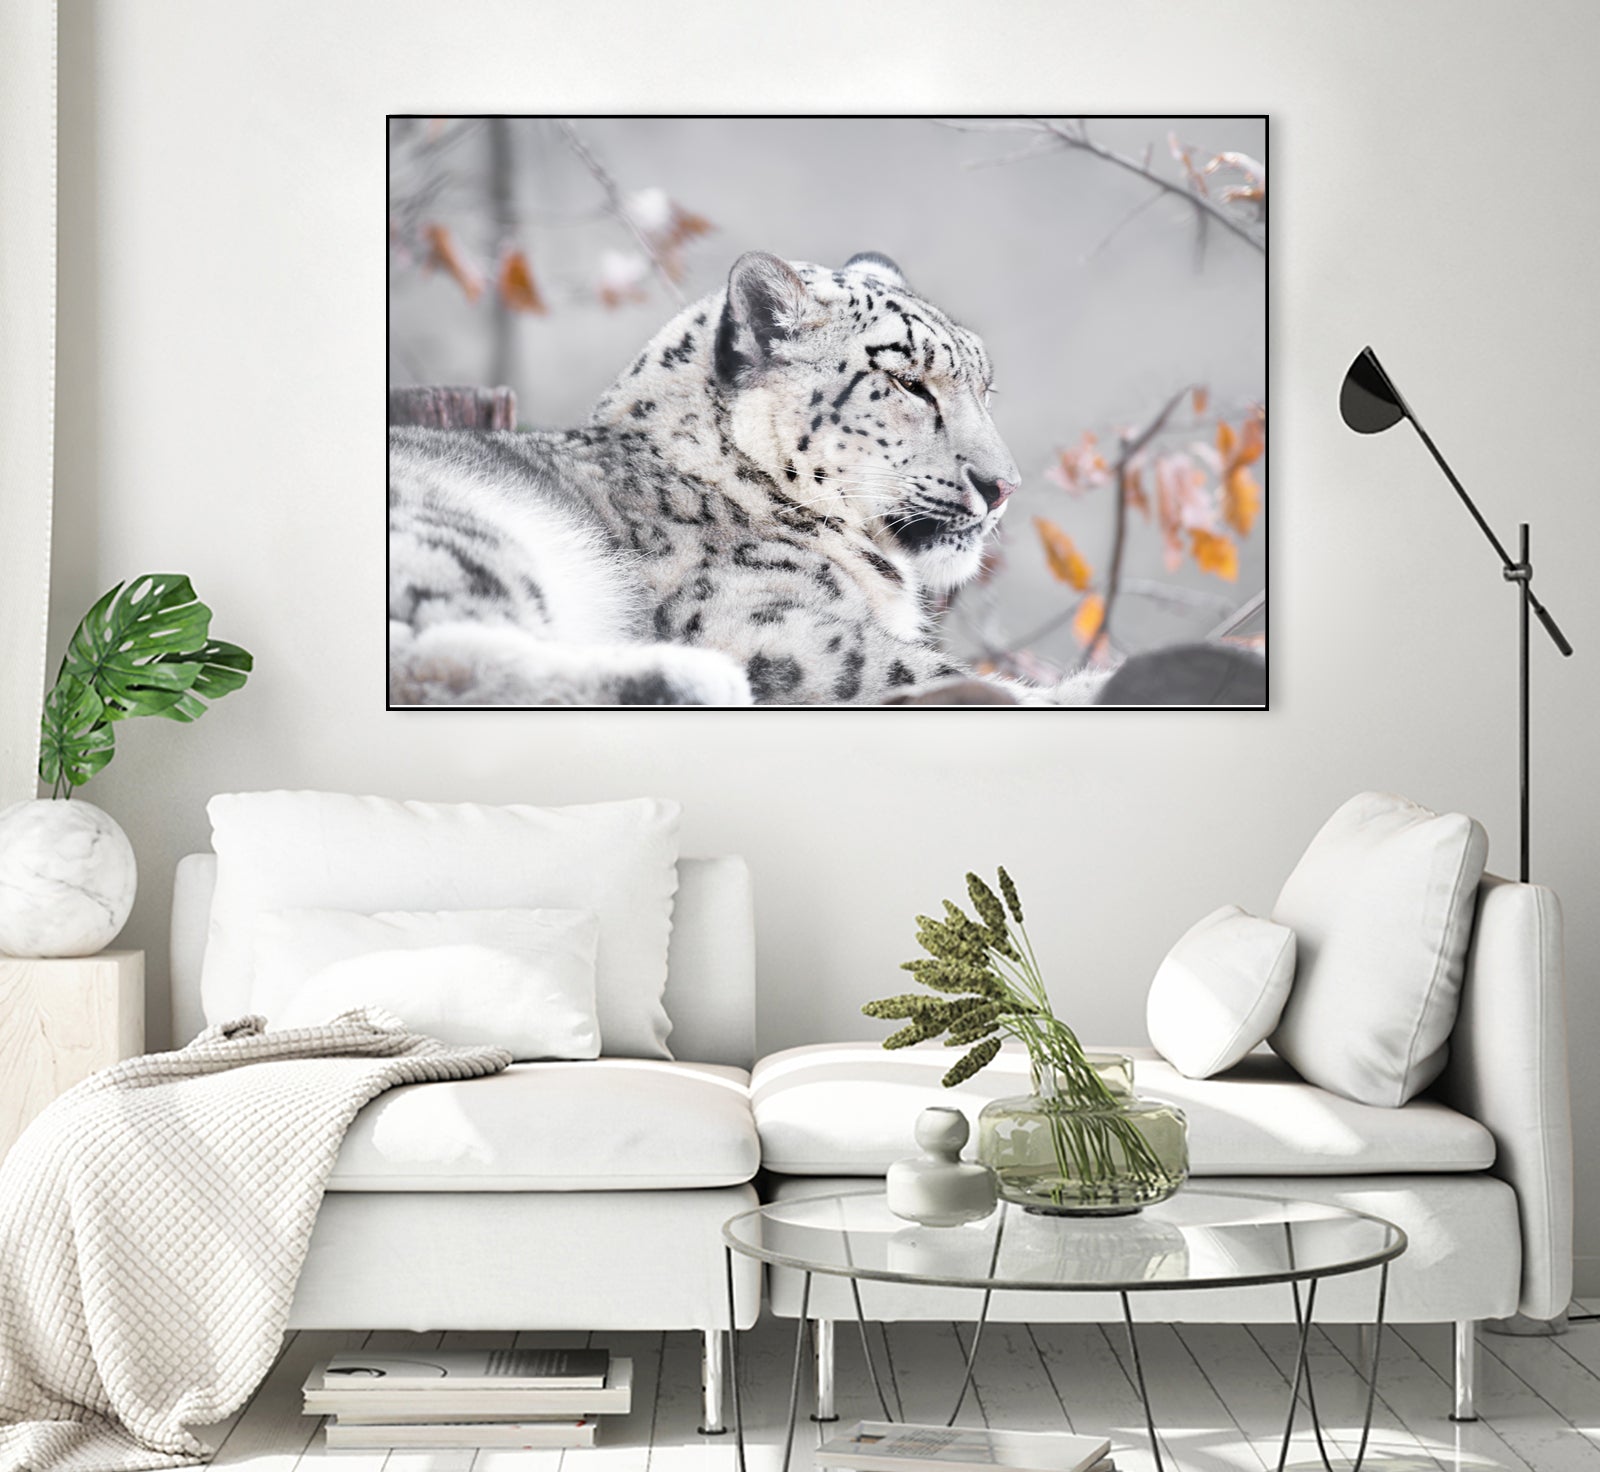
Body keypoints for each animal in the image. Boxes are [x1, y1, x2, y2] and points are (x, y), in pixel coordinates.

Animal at [389, 249, 1098, 706]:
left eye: (985, 388)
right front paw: (1078, 688)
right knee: (434, 655)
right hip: (463, 531)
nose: (1002, 486)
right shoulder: (774, 627)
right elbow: (909, 669)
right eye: (907, 382)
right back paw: (689, 679)